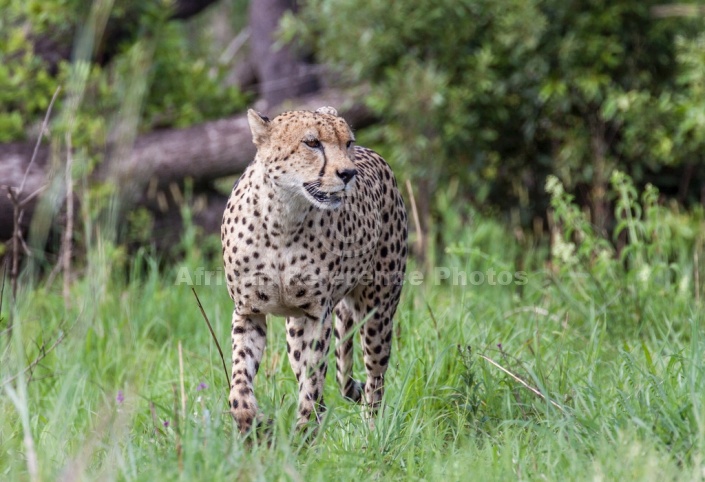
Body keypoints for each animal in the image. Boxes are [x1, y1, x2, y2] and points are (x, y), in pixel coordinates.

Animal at [220, 105, 408, 434]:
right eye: (312, 143)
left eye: (347, 142)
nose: (348, 173)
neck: (283, 217)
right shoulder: (248, 312)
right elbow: (240, 384)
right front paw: (255, 425)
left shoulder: (317, 315)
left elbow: (314, 382)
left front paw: (303, 434)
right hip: (295, 327)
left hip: (377, 312)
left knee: (374, 377)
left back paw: (371, 431)